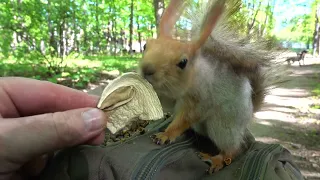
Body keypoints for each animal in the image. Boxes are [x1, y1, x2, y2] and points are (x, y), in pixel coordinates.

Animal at [138, 0, 282, 174]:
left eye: (183, 62)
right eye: (145, 45)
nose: (147, 69)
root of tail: (250, 112)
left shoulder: (200, 101)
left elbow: (185, 119)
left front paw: (166, 135)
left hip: (223, 127)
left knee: (234, 148)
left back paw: (217, 159)